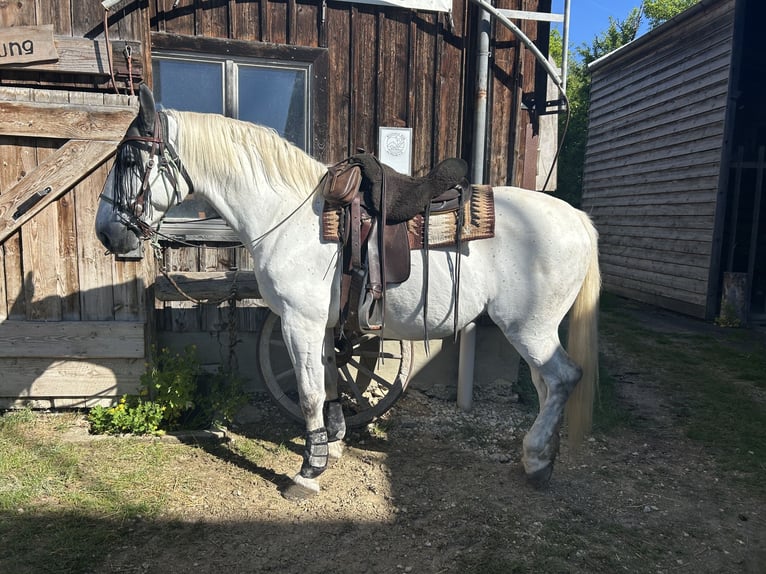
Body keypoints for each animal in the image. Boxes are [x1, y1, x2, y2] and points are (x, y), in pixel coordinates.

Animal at [96, 84, 600, 499]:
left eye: (129, 161)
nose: (106, 234)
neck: (289, 215)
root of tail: (577, 219)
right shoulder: (320, 326)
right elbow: (329, 381)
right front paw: (332, 448)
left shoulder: (299, 322)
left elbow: (308, 393)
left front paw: (307, 472)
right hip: (534, 329)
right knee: (546, 383)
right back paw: (539, 456)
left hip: (529, 327)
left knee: (562, 378)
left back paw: (537, 459)